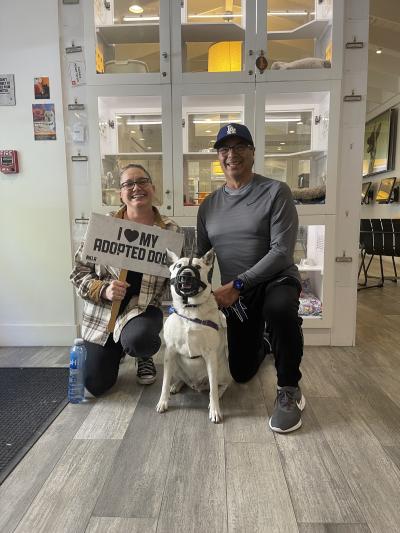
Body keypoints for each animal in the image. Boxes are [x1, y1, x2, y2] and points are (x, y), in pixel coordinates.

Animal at [156, 248, 231, 420]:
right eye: (178, 266)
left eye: (197, 266)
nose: (186, 275)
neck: (189, 309)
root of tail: (196, 384)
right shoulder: (170, 352)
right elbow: (164, 382)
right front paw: (163, 401)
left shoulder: (210, 355)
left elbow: (213, 389)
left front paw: (215, 410)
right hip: (175, 365)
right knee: (179, 379)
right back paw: (176, 385)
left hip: (220, 370)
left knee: (221, 385)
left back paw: (218, 395)